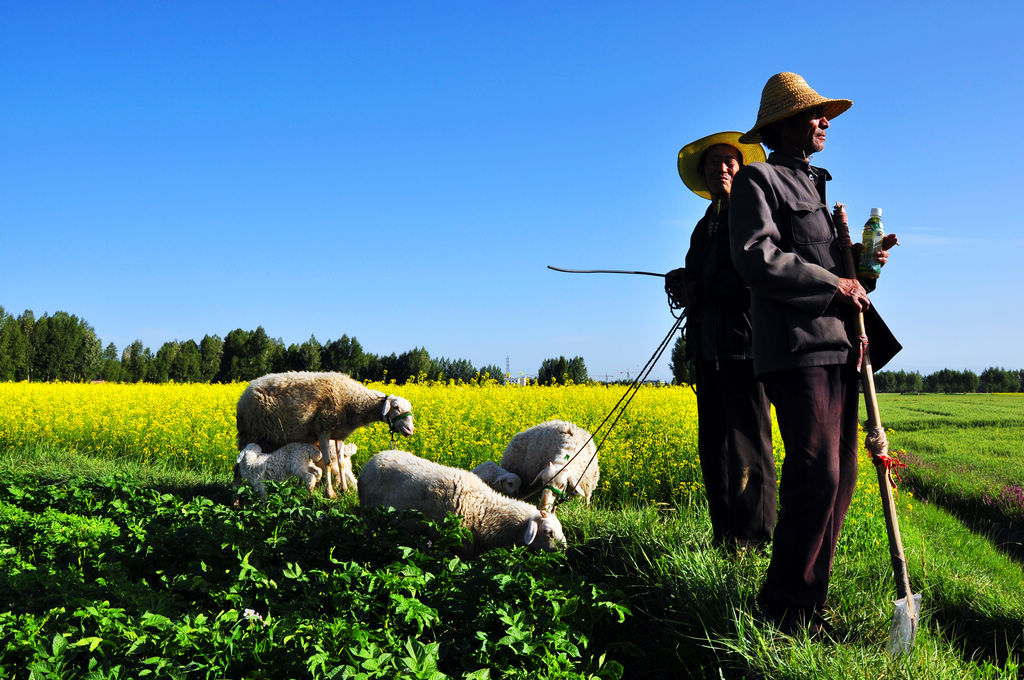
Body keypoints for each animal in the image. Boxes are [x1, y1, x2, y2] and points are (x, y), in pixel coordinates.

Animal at [237, 372, 413, 499]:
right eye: (396, 407)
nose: (410, 430)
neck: (351, 401)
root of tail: (248, 389)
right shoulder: (323, 431)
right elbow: (328, 463)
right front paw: (330, 493)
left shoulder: (339, 435)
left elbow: (341, 462)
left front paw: (344, 489)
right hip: (250, 432)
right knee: (238, 466)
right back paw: (237, 498)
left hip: (269, 439)